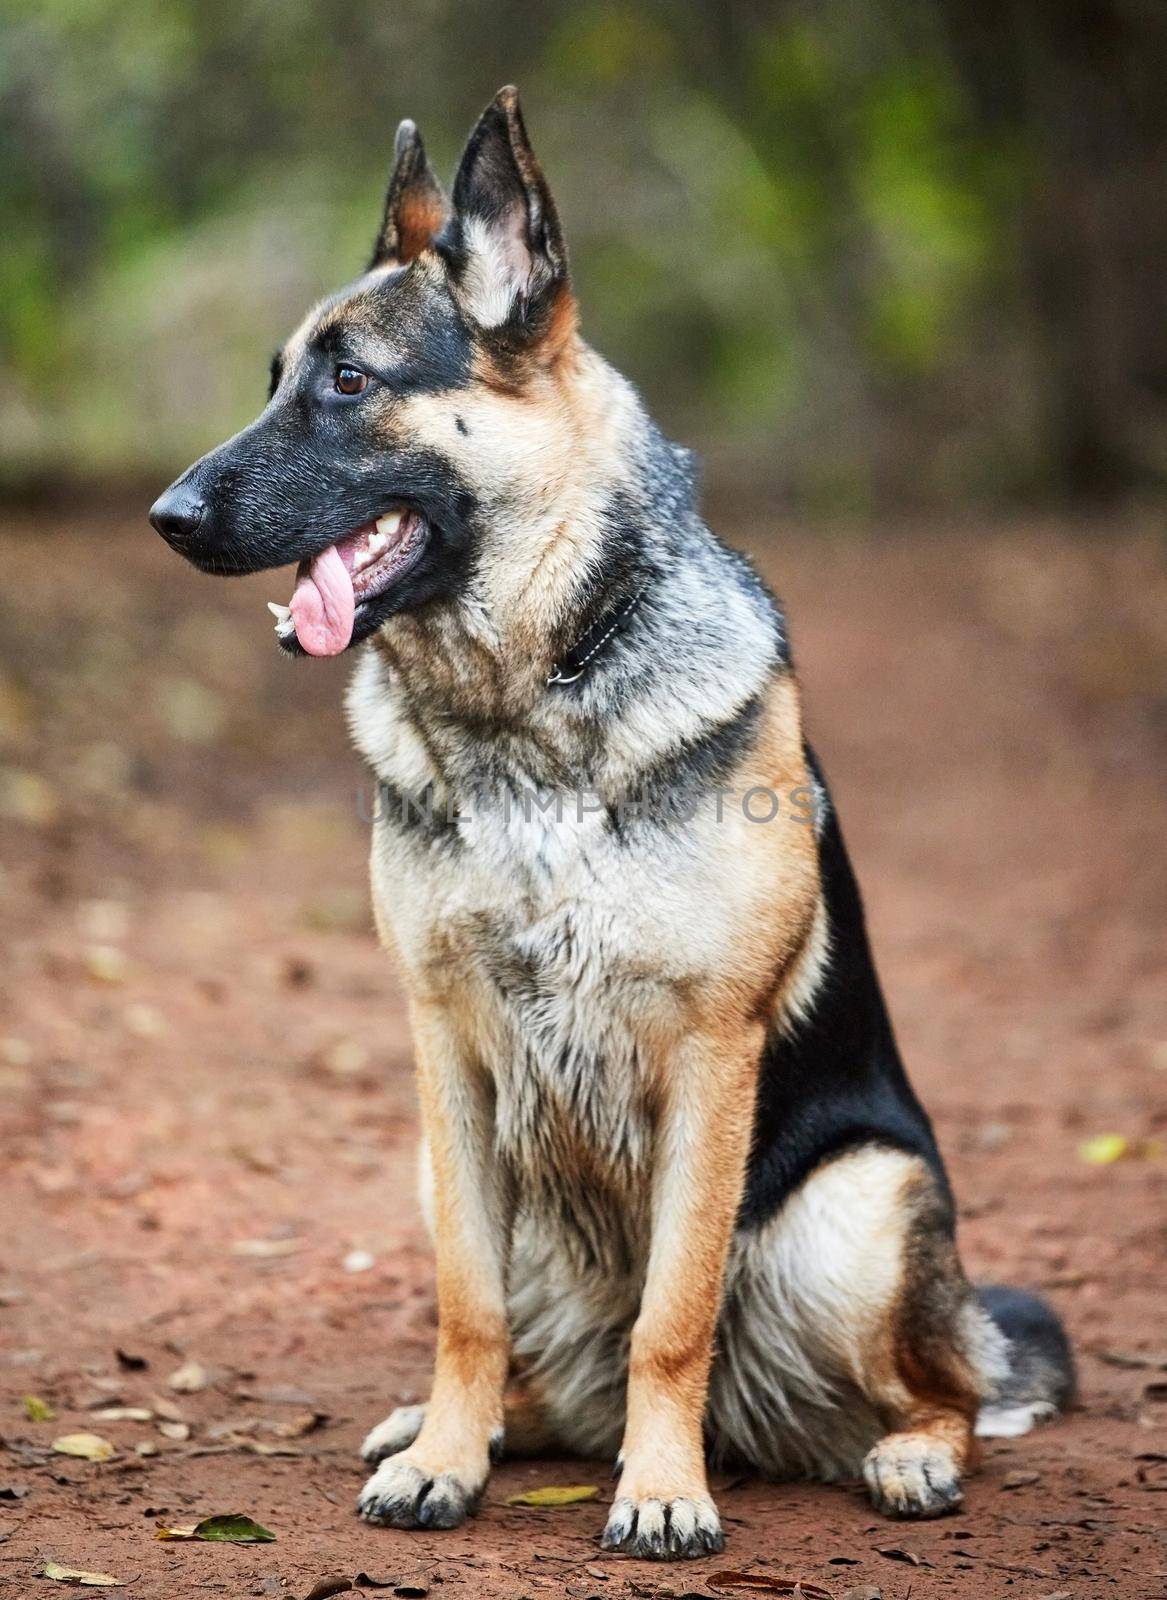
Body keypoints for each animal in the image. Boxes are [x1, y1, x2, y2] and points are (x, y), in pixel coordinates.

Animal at [150, 90, 1069, 1561]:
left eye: (349, 382)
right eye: (277, 376)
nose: (165, 517)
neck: (524, 710)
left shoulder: (709, 1053)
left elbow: (672, 1317)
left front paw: (661, 1489)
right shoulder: (446, 1050)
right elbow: (464, 1303)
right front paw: (447, 1458)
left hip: (854, 1207)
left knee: (943, 1392)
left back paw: (903, 1455)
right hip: (442, 1170)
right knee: (544, 1369)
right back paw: (460, 1424)